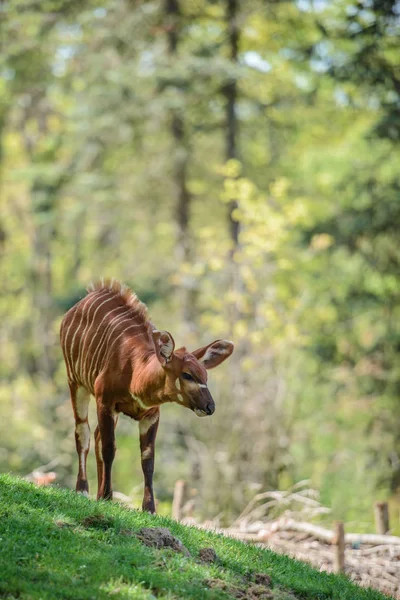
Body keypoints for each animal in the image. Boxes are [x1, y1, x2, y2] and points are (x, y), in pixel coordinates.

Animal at [60, 280, 234, 510]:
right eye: (187, 374)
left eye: (205, 374)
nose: (210, 407)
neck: (136, 372)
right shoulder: (105, 401)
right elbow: (109, 448)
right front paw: (107, 496)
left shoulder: (150, 415)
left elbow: (148, 459)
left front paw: (149, 509)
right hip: (75, 382)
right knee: (83, 432)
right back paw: (83, 490)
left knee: (95, 435)